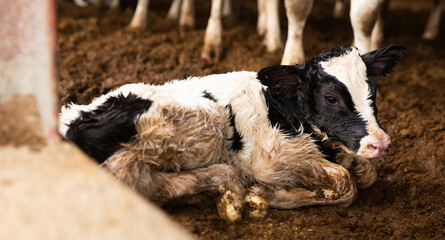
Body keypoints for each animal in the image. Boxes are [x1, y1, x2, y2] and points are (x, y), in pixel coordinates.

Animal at [58, 44, 402, 221]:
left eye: (372, 90)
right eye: (331, 98)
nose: (380, 142)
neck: (281, 107)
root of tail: (72, 121)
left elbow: (366, 173)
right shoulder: (268, 162)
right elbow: (346, 184)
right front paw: (270, 195)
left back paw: (223, 194)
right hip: (199, 121)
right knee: (131, 177)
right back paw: (237, 194)